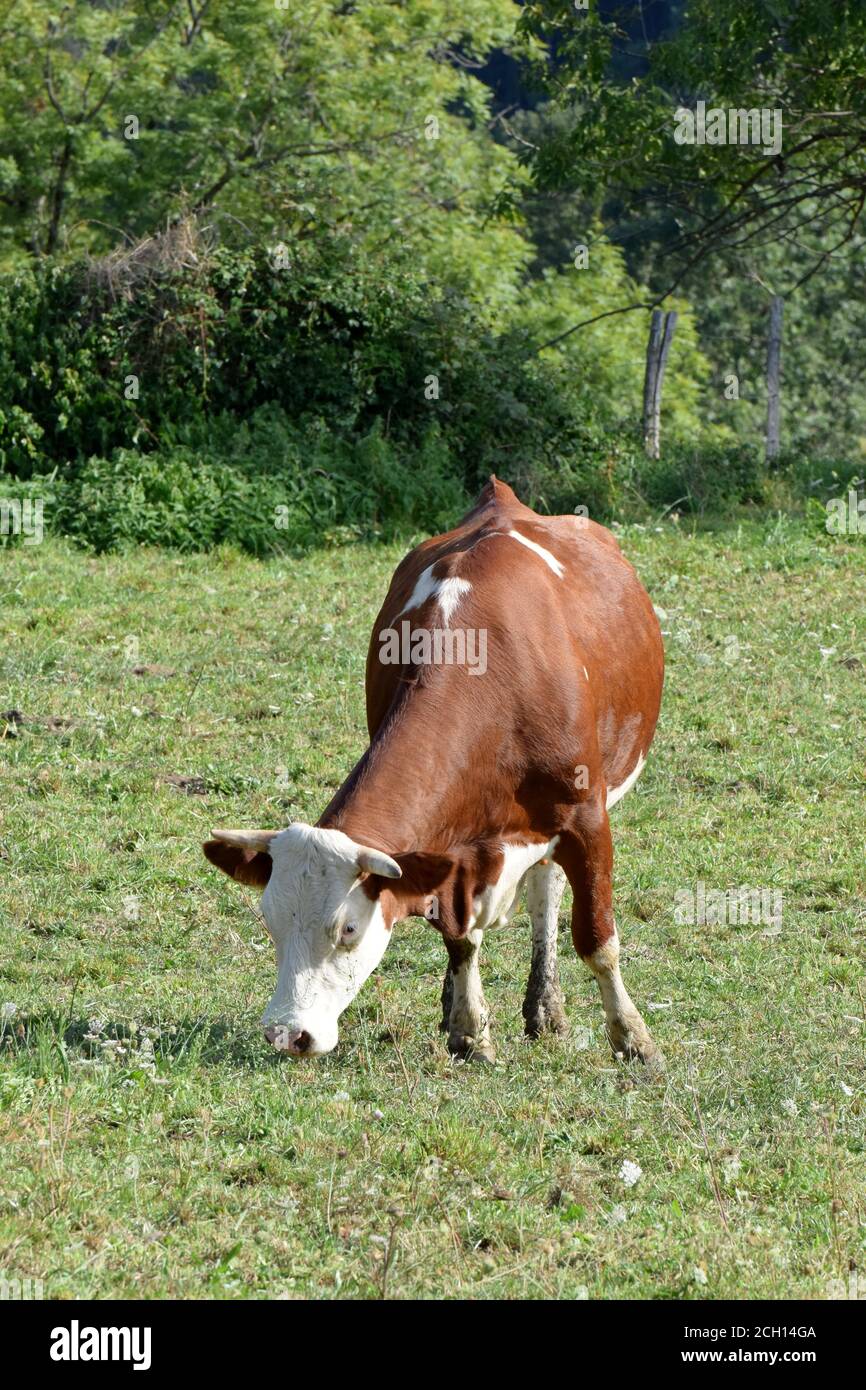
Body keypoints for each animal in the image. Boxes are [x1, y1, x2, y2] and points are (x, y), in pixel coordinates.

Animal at [202, 483, 664, 1067]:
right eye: (271, 920)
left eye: (348, 929)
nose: (288, 1033)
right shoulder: (452, 852)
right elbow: (460, 936)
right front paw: (469, 1030)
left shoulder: (587, 818)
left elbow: (597, 939)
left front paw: (633, 1038)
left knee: (547, 894)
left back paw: (547, 1007)